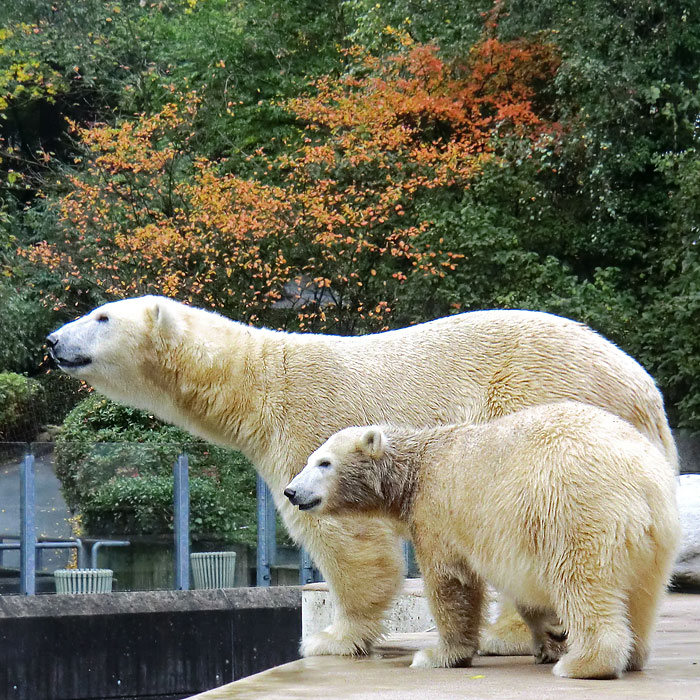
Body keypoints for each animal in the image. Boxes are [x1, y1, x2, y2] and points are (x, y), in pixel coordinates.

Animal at [45, 296, 680, 656]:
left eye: (101, 317)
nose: (52, 340)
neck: (258, 382)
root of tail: (646, 392)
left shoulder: (310, 425)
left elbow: (345, 538)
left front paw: (331, 638)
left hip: (539, 402)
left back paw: (511, 636)